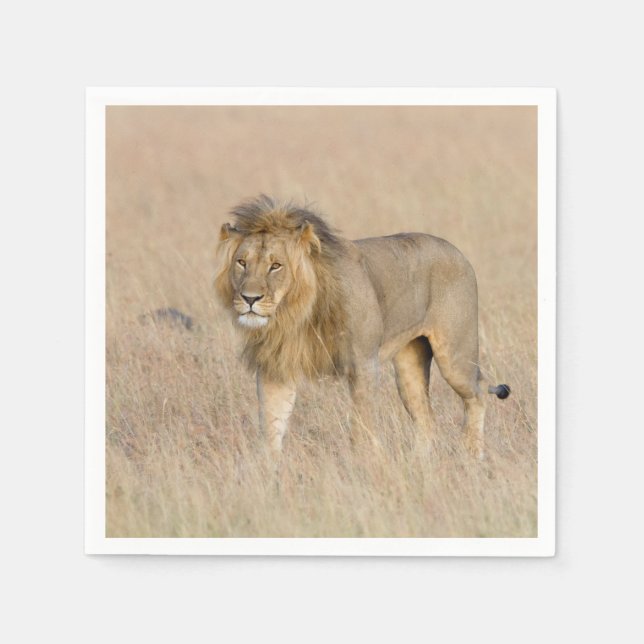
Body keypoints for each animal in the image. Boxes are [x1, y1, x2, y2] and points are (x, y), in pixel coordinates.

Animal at [214, 195, 510, 458]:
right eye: (242, 262)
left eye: (276, 266)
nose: (249, 299)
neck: (295, 313)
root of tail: (456, 250)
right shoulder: (275, 366)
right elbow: (271, 425)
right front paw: (268, 470)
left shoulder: (364, 363)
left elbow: (362, 425)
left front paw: (365, 463)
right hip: (409, 366)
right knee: (426, 418)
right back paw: (420, 462)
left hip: (455, 357)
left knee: (478, 391)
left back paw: (472, 454)